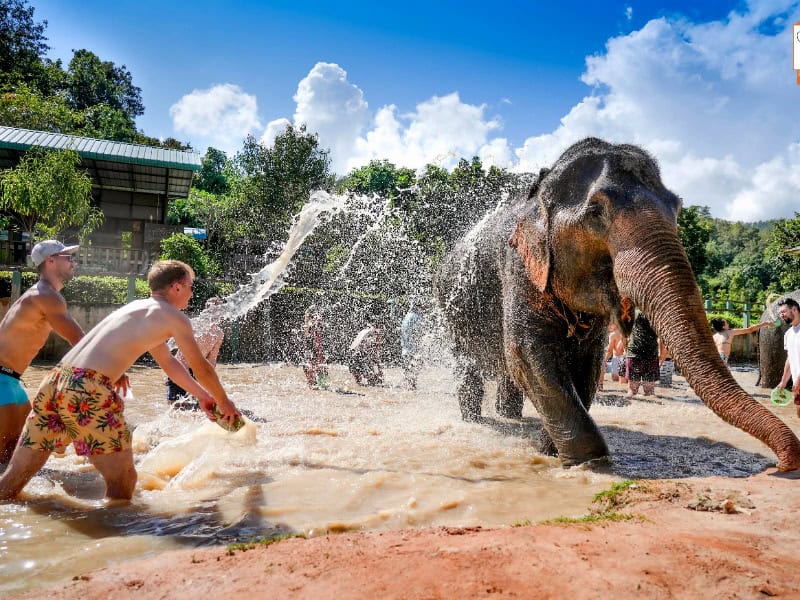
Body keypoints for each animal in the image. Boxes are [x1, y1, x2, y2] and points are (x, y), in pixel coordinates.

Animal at [434, 137, 800, 470]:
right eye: (596, 212)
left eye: (677, 208)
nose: (784, 465)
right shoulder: (517, 264)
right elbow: (528, 351)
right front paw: (589, 462)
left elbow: (587, 358)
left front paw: (549, 450)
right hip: (452, 309)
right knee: (470, 363)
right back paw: (475, 420)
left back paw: (511, 418)